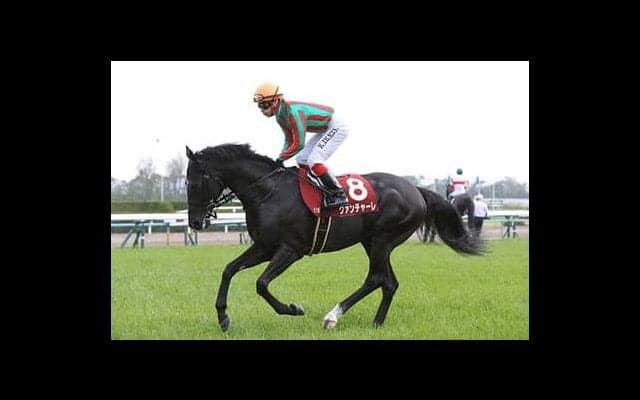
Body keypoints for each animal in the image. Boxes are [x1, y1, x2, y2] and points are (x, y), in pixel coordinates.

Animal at [186, 143, 485, 331]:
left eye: (194, 183)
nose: (195, 223)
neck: (268, 191)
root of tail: (416, 190)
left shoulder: (290, 249)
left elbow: (261, 284)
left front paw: (293, 309)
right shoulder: (264, 247)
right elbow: (229, 270)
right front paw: (223, 317)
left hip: (382, 239)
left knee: (377, 278)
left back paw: (332, 317)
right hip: (374, 242)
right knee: (389, 282)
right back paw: (376, 323)